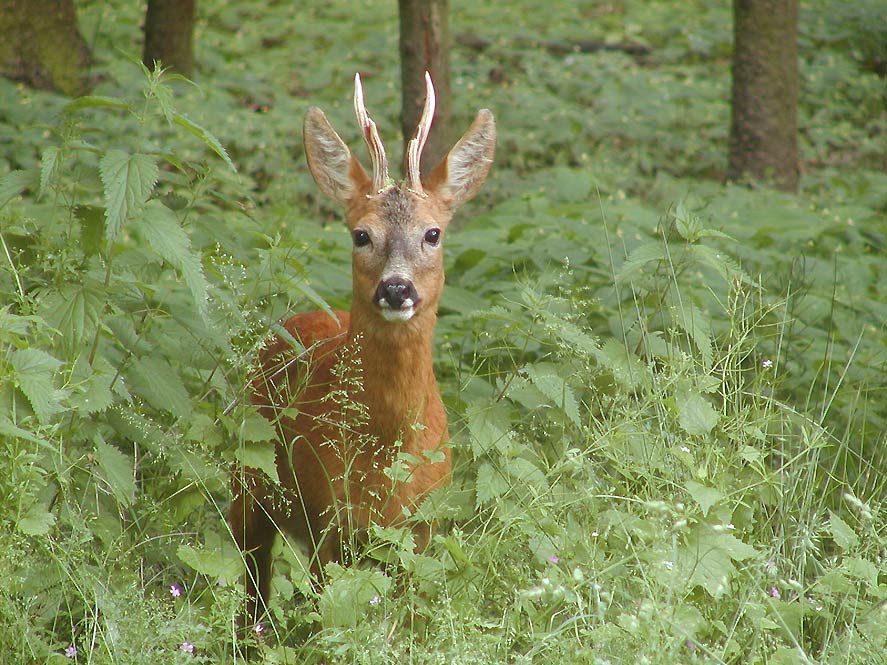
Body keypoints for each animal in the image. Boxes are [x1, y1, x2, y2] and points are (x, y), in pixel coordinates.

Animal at [229, 72, 496, 624]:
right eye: (361, 234)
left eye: (433, 233)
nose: (396, 288)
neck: (387, 443)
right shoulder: (330, 515)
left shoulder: (424, 523)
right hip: (252, 471)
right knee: (251, 569)